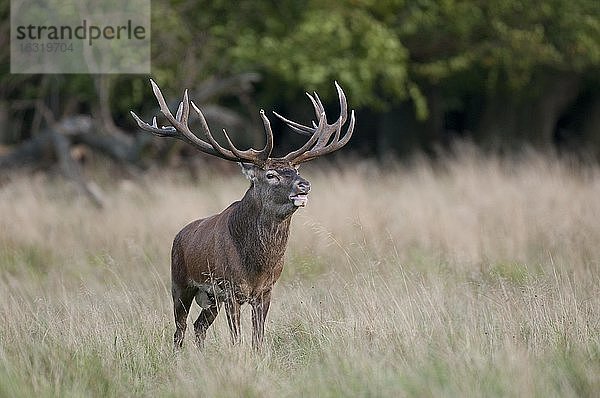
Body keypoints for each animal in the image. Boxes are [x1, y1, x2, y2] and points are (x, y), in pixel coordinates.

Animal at [131, 78, 354, 348]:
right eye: (271, 175)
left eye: (295, 170)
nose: (304, 185)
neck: (257, 266)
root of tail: (179, 236)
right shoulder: (231, 289)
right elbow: (236, 339)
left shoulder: (266, 291)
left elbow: (258, 338)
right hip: (180, 283)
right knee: (180, 329)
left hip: (210, 298)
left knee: (199, 326)